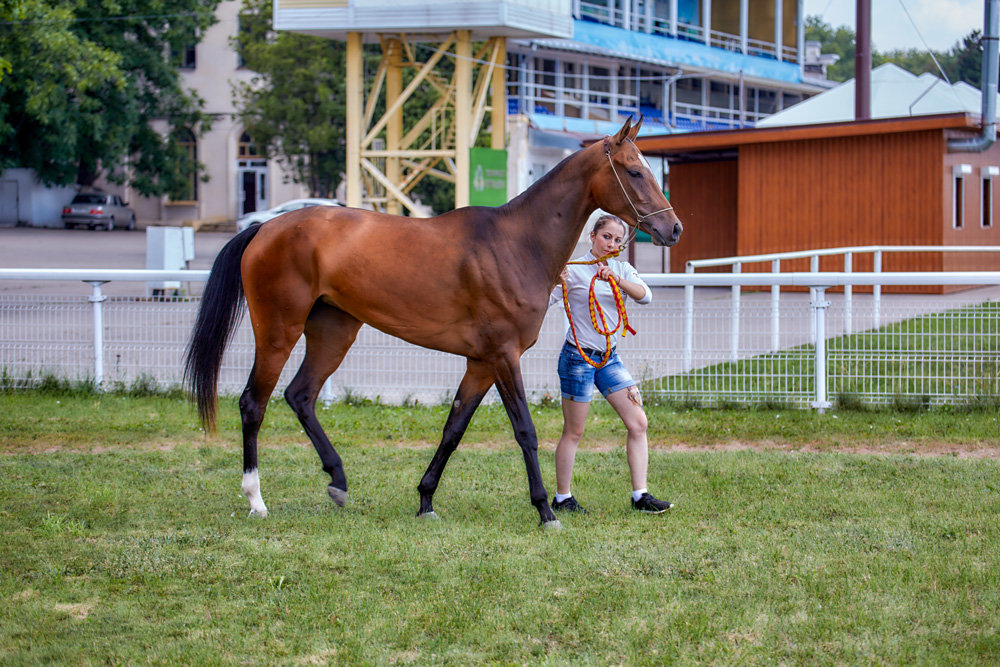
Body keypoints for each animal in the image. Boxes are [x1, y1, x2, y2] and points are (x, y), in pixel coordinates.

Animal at [182, 117, 680, 528]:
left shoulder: (481, 363)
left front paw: (425, 500)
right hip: (278, 331)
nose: (673, 229)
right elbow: (525, 431)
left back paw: (338, 482)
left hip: (333, 331)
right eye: (635, 172)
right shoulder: (504, 356)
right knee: (254, 404)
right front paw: (544, 510)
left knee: (300, 395)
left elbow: (453, 430)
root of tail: (265, 228)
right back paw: (256, 500)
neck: (516, 243)